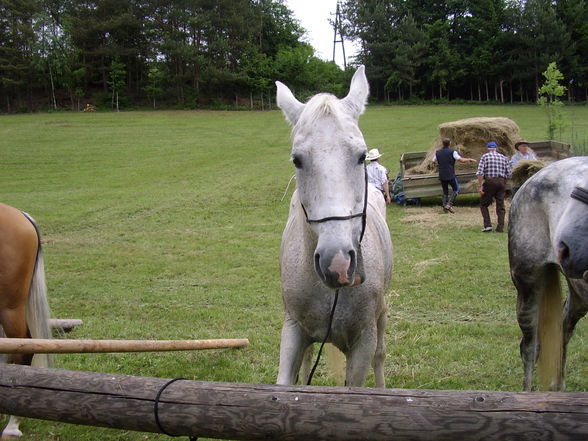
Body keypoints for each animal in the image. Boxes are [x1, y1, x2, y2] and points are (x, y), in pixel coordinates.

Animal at [276, 65, 396, 384]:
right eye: (297, 160)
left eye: (361, 156)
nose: (337, 263)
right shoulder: (293, 330)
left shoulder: (364, 340)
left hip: (381, 315)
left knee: (381, 356)